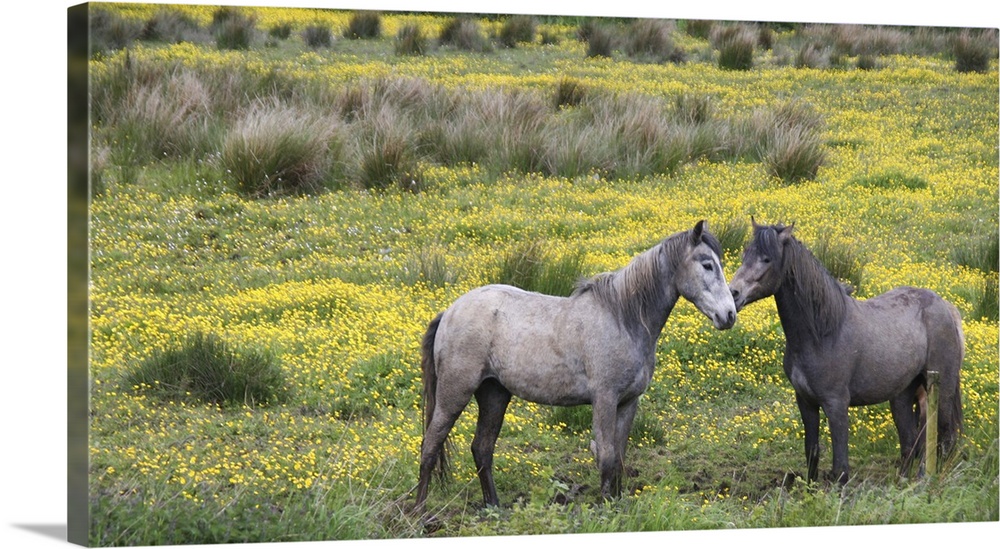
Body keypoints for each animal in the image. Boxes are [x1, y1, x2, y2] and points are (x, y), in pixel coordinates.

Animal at [412, 219, 736, 510]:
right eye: (707, 264)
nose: (729, 315)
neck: (624, 319)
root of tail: (450, 311)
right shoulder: (604, 399)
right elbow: (606, 455)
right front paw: (605, 508)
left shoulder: (628, 402)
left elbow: (619, 457)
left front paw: (617, 505)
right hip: (455, 393)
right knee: (431, 445)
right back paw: (420, 512)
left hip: (494, 394)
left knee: (482, 448)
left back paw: (494, 507)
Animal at [728, 220, 960, 482]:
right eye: (745, 254)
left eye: (767, 259)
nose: (733, 293)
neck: (823, 334)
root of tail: (946, 307)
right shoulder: (805, 401)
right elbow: (812, 453)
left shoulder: (836, 404)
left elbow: (840, 468)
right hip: (902, 395)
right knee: (911, 442)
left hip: (940, 390)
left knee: (944, 439)